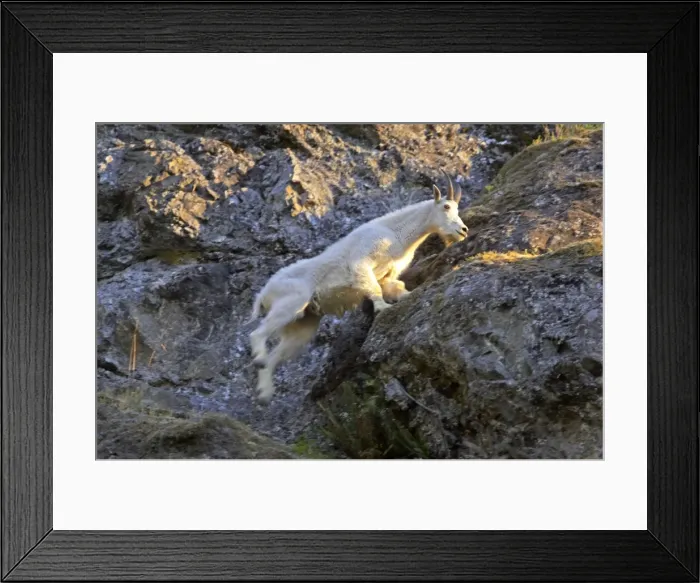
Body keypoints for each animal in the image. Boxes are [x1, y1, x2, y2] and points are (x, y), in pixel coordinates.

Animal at [248, 173, 468, 404]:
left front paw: (412, 294)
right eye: (446, 206)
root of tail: (263, 294)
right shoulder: (361, 264)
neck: (396, 233)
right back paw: (259, 358)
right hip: (291, 303)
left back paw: (264, 391)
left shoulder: (388, 274)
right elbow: (374, 290)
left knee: (275, 356)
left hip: (302, 325)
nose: (463, 231)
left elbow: (396, 288)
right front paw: (383, 309)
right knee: (257, 333)